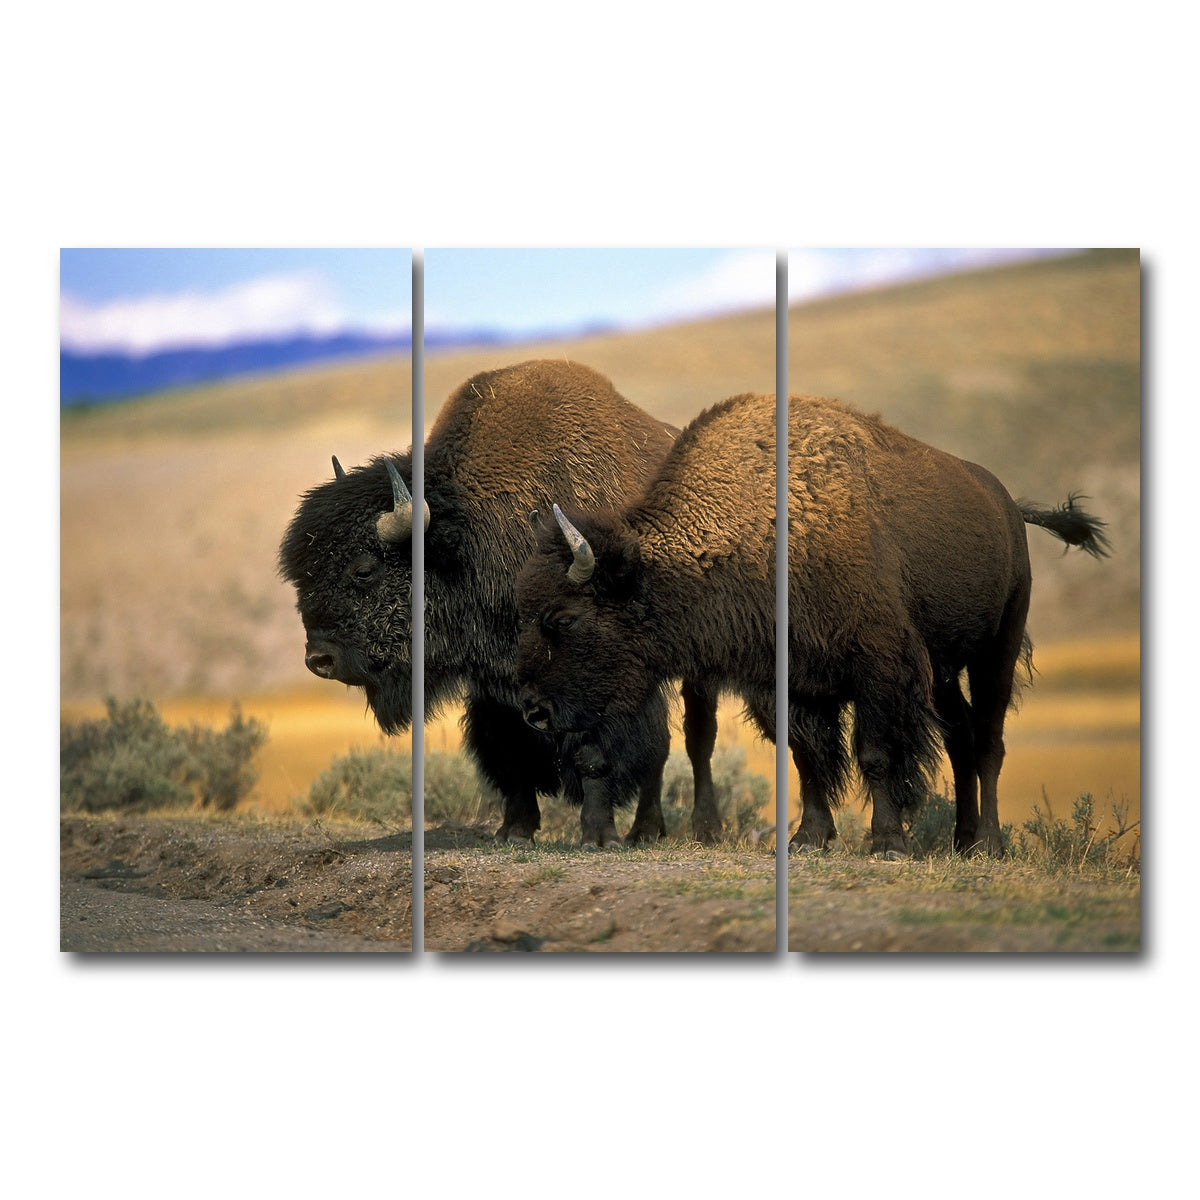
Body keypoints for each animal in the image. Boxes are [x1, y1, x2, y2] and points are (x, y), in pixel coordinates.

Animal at [278, 359, 721, 845]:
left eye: (363, 569)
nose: (319, 659)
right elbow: (510, 752)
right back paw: (649, 830)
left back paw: (690, 829)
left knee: (693, 738)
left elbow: (594, 752)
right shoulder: (494, 683)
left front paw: (598, 836)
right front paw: (515, 830)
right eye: (302, 575)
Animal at [514, 390, 1107, 858]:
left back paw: (988, 842)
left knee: (987, 741)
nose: (533, 711)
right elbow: (808, 758)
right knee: (960, 736)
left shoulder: (879, 668)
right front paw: (808, 838)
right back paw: (961, 841)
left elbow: (874, 753)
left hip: (995, 650)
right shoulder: (792, 685)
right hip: (942, 670)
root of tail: (1006, 503)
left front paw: (888, 843)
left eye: (564, 617)